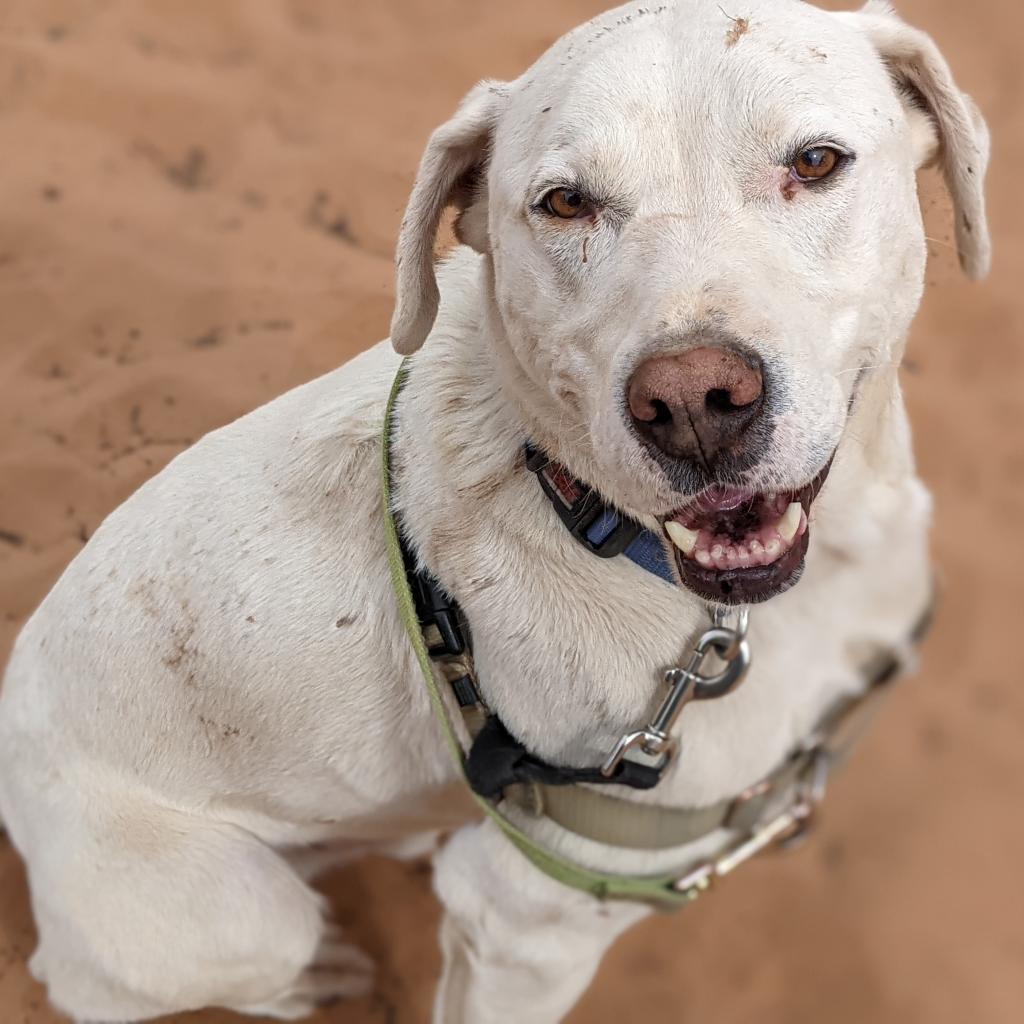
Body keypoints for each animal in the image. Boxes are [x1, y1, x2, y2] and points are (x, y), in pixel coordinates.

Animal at [0, 2, 991, 1024]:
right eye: (564, 203)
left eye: (816, 161)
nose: (692, 404)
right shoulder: (524, 924)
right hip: (239, 913)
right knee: (113, 979)